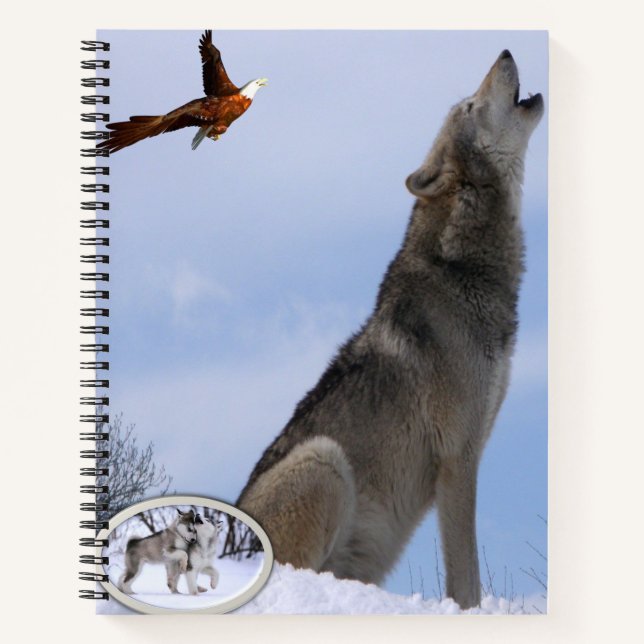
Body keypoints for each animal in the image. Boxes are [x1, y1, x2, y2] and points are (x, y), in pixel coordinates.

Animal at [236, 50, 543, 609]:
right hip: (325, 460)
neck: (462, 272)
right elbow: (465, 576)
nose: (506, 53)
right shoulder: (458, 457)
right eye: (470, 106)